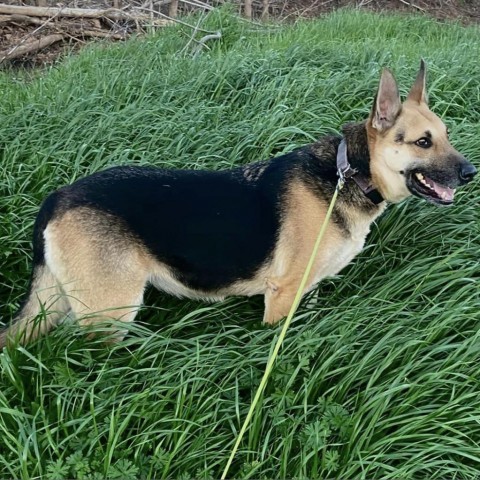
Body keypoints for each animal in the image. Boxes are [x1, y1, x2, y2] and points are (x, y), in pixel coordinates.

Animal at [0, 60, 474, 346]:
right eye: (423, 142)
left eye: (445, 136)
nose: (471, 173)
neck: (348, 173)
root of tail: (57, 197)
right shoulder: (282, 296)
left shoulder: (305, 292)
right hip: (111, 314)